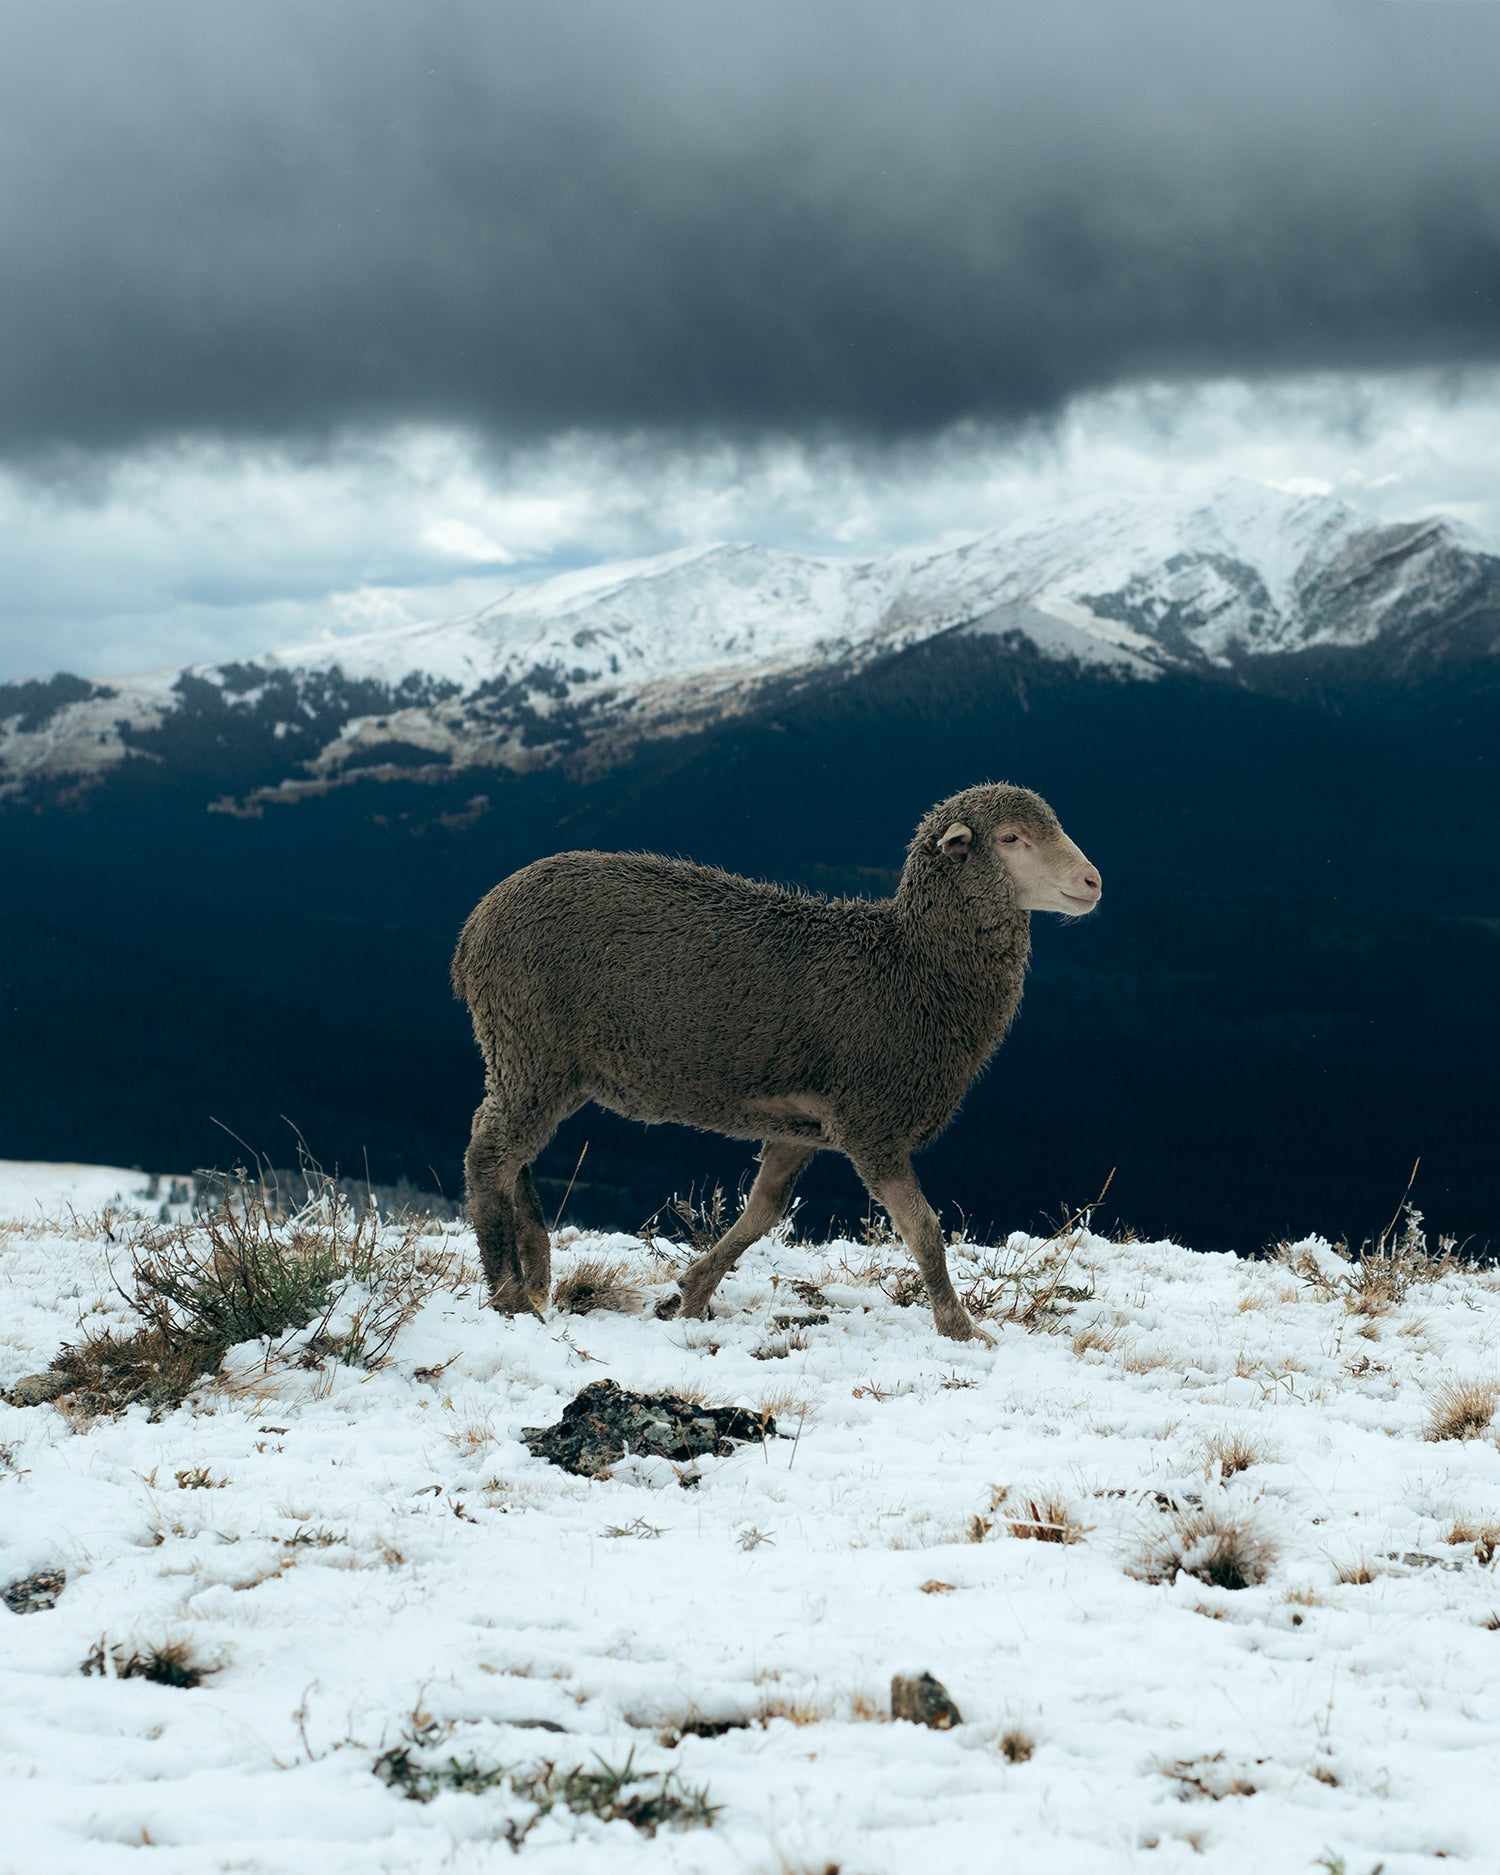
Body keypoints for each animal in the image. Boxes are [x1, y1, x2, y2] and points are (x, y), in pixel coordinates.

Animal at [451, 782, 1101, 1343]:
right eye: (1011, 838)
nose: (1094, 881)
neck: (914, 966)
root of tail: (474, 927)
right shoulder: (872, 1122)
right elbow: (924, 1230)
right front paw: (961, 1329)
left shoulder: (802, 1125)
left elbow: (762, 1212)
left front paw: (691, 1295)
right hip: (531, 1047)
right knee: (488, 1154)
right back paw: (510, 1297)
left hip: (535, 1062)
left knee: (507, 1152)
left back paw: (534, 1272)